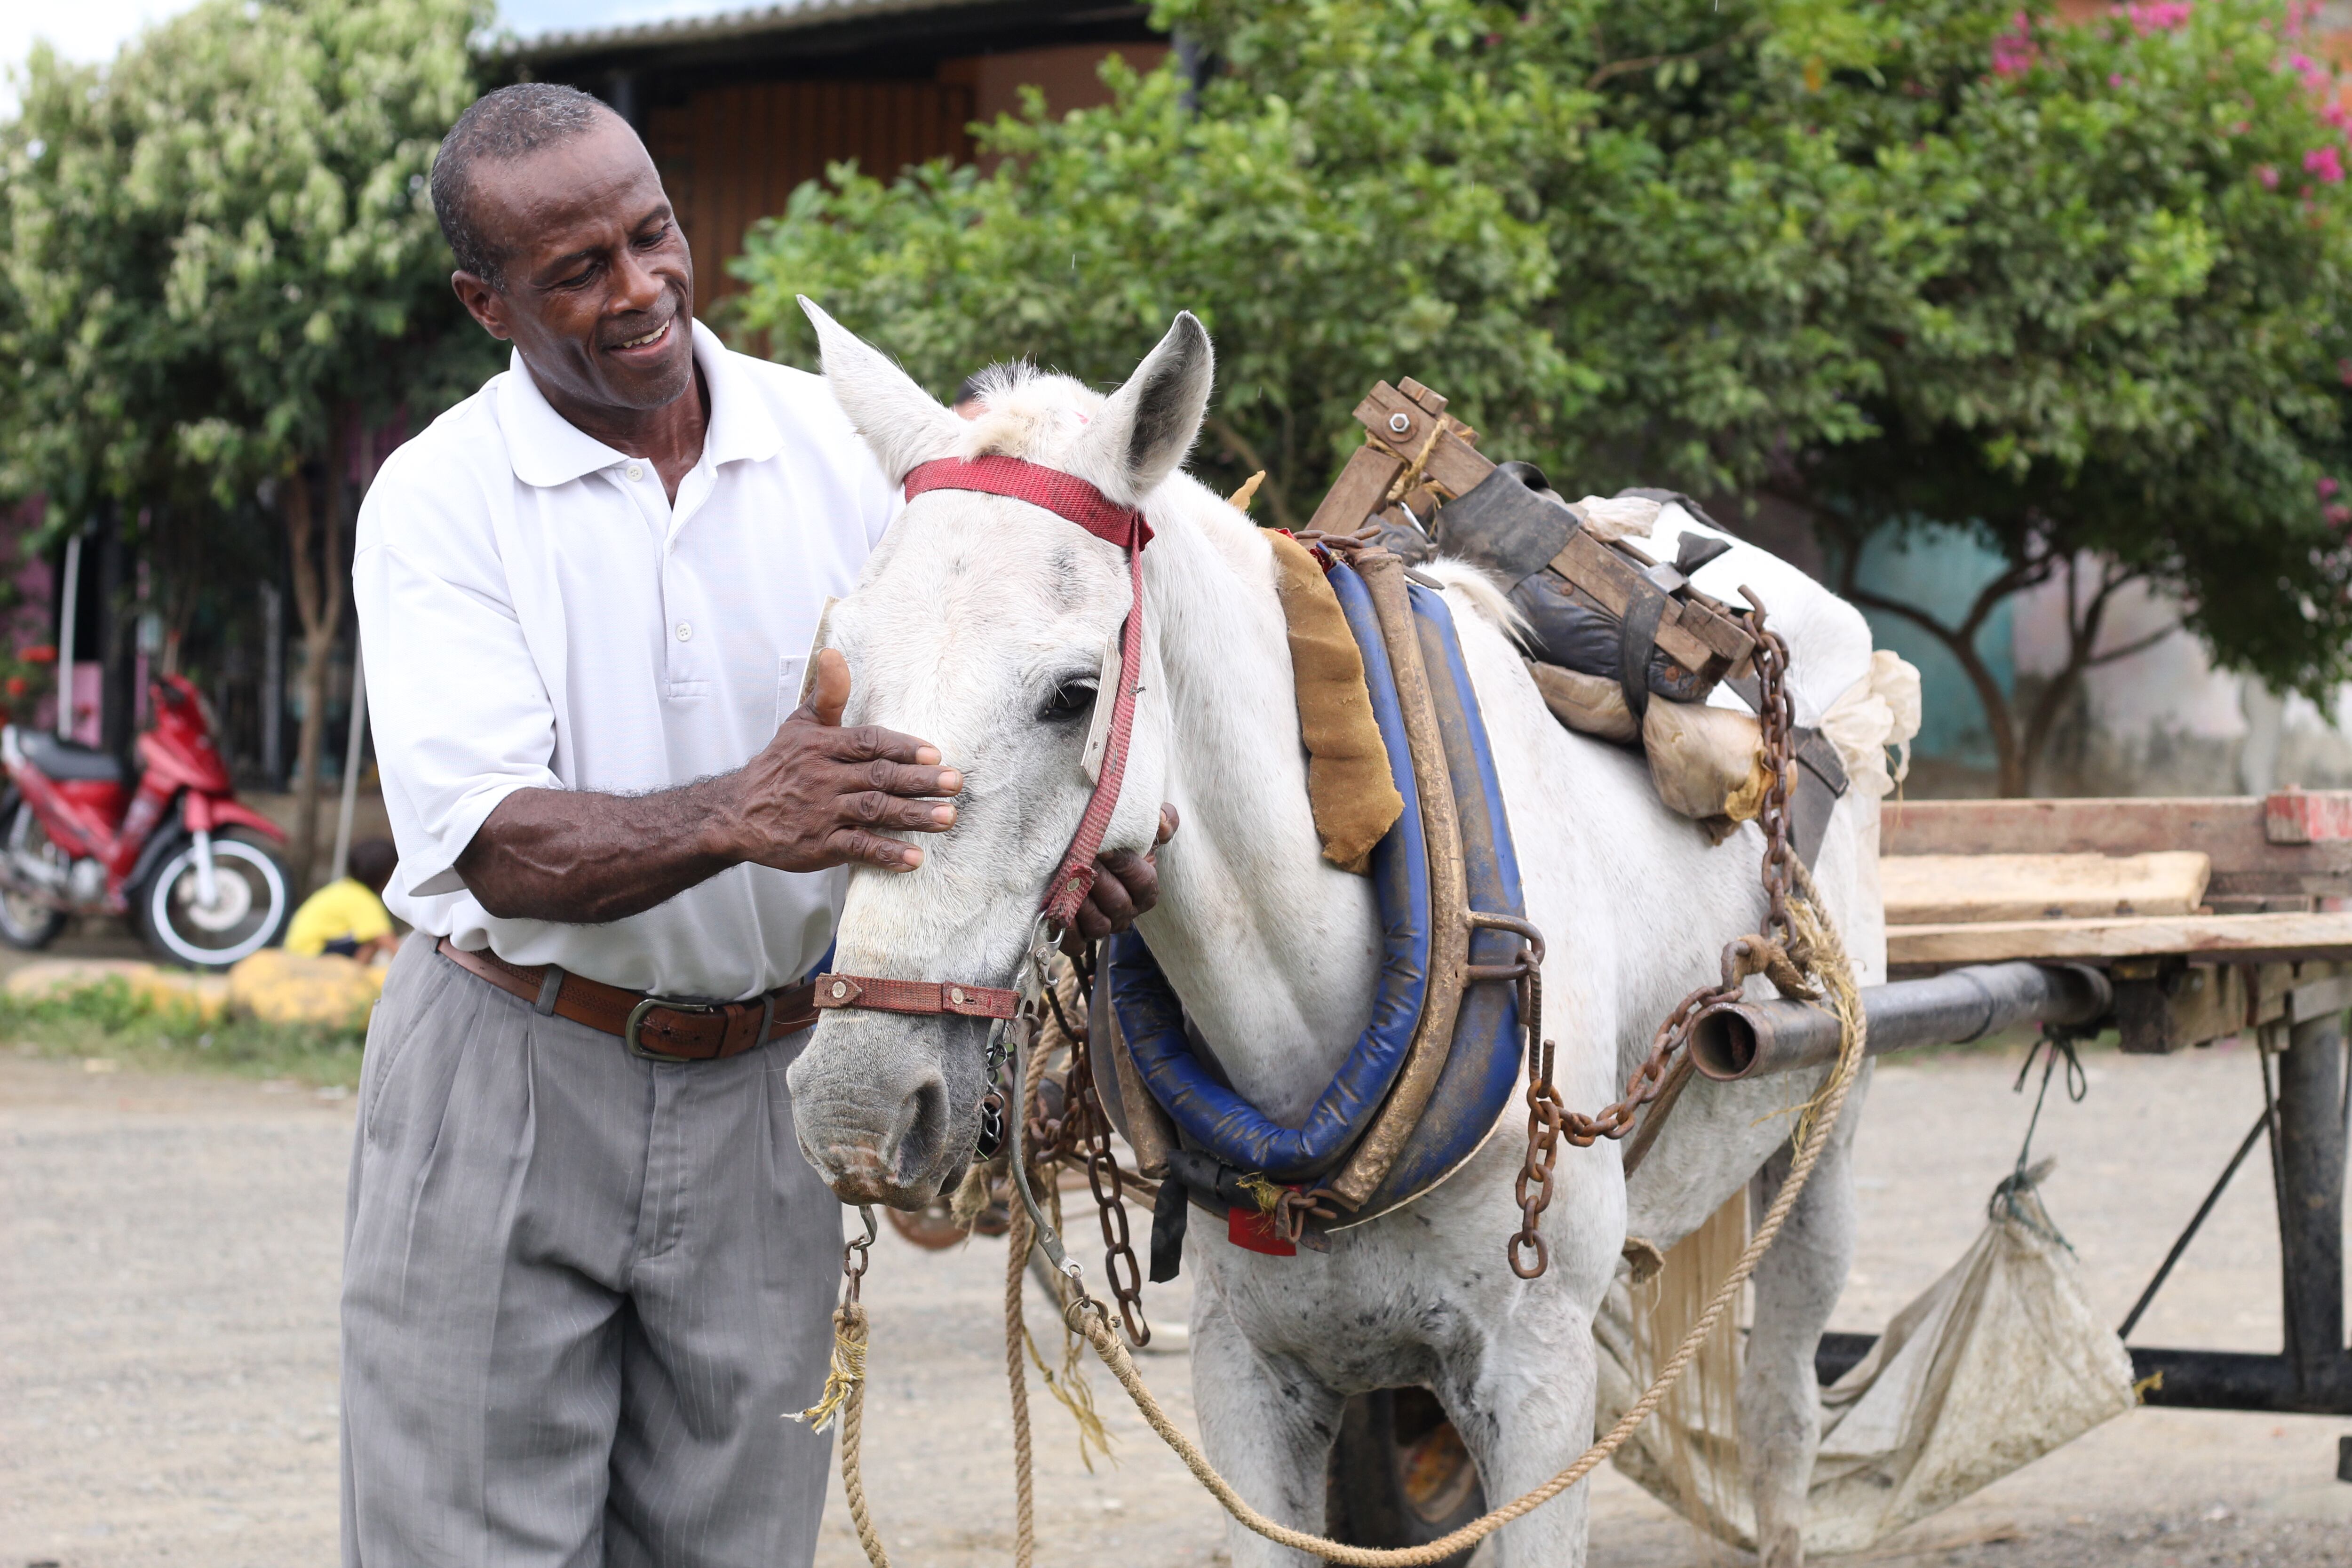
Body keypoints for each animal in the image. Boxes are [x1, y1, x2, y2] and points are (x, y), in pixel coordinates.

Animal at [783, 301, 1891, 1568]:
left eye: (1072, 693)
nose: (856, 1105)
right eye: (841, 674)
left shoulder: (1539, 1374)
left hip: (1822, 1132)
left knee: (1783, 1405)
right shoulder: (1245, 1375)